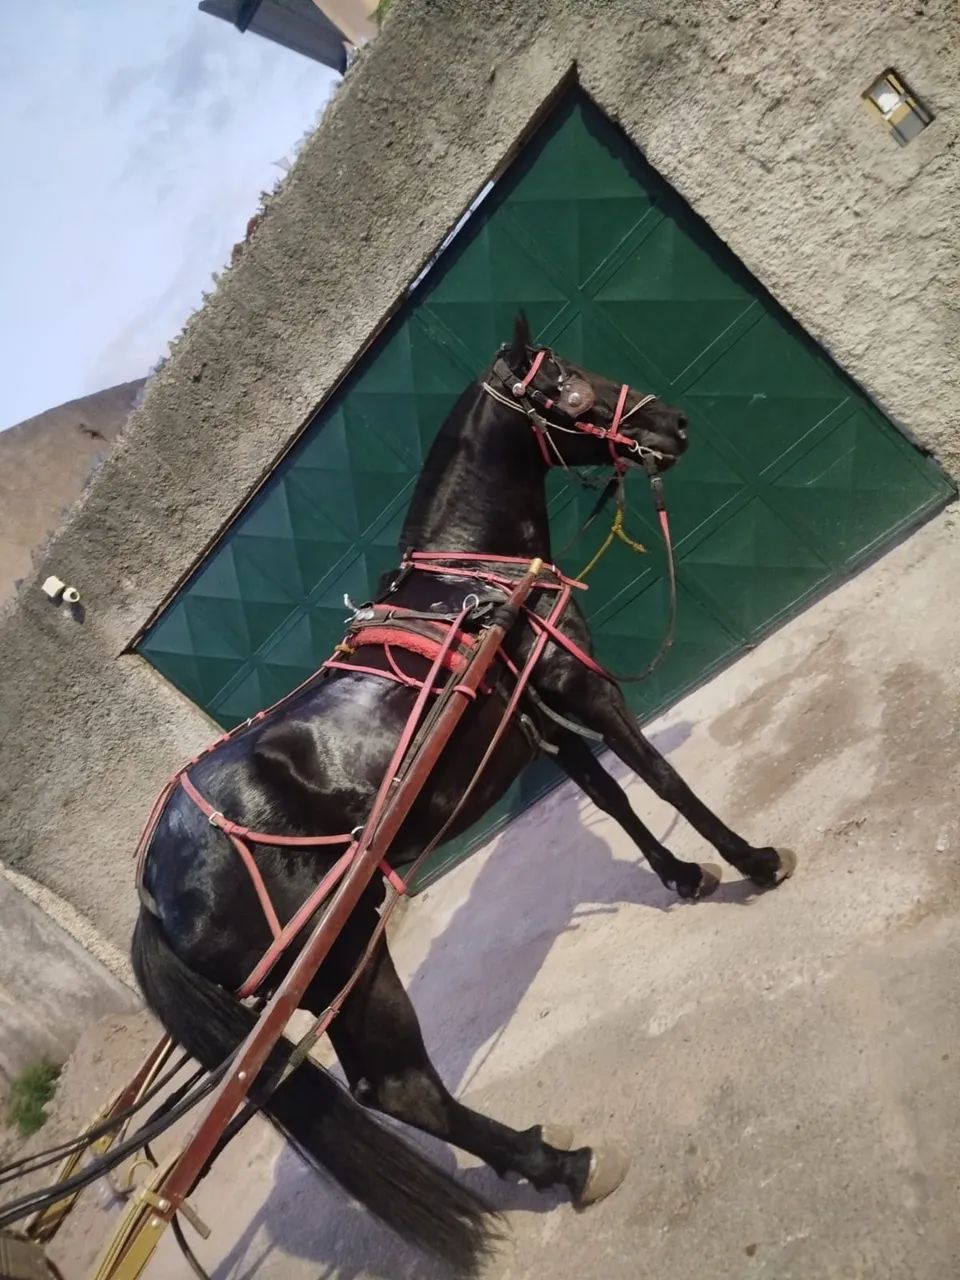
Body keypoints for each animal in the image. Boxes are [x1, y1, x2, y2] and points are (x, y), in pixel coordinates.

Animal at [132, 313, 795, 1276]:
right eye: (564, 381)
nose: (672, 423)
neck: (472, 583)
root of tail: (154, 891)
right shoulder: (579, 684)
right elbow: (657, 775)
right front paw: (750, 860)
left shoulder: (539, 721)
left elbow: (612, 797)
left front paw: (681, 876)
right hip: (344, 955)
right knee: (400, 1087)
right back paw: (565, 1163)